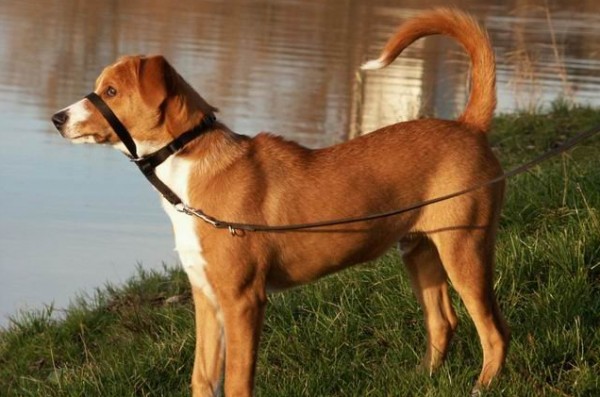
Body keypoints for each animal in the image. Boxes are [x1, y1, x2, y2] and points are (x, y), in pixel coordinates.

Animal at [52, 7, 510, 394]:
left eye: (112, 91)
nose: (57, 118)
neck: (190, 169)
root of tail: (469, 126)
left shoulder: (243, 301)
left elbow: (237, 381)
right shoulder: (206, 297)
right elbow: (203, 378)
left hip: (465, 251)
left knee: (494, 332)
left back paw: (483, 385)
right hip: (420, 250)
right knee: (443, 322)